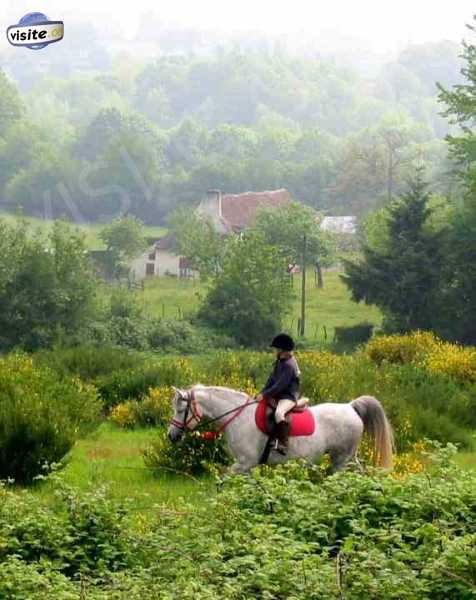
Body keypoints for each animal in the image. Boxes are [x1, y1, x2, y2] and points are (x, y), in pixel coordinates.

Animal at [168, 384, 394, 474]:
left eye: (180, 410)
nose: (172, 436)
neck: (238, 417)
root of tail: (350, 406)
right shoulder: (247, 466)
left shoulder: (244, 463)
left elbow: (223, 480)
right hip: (347, 458)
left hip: (342, 458)